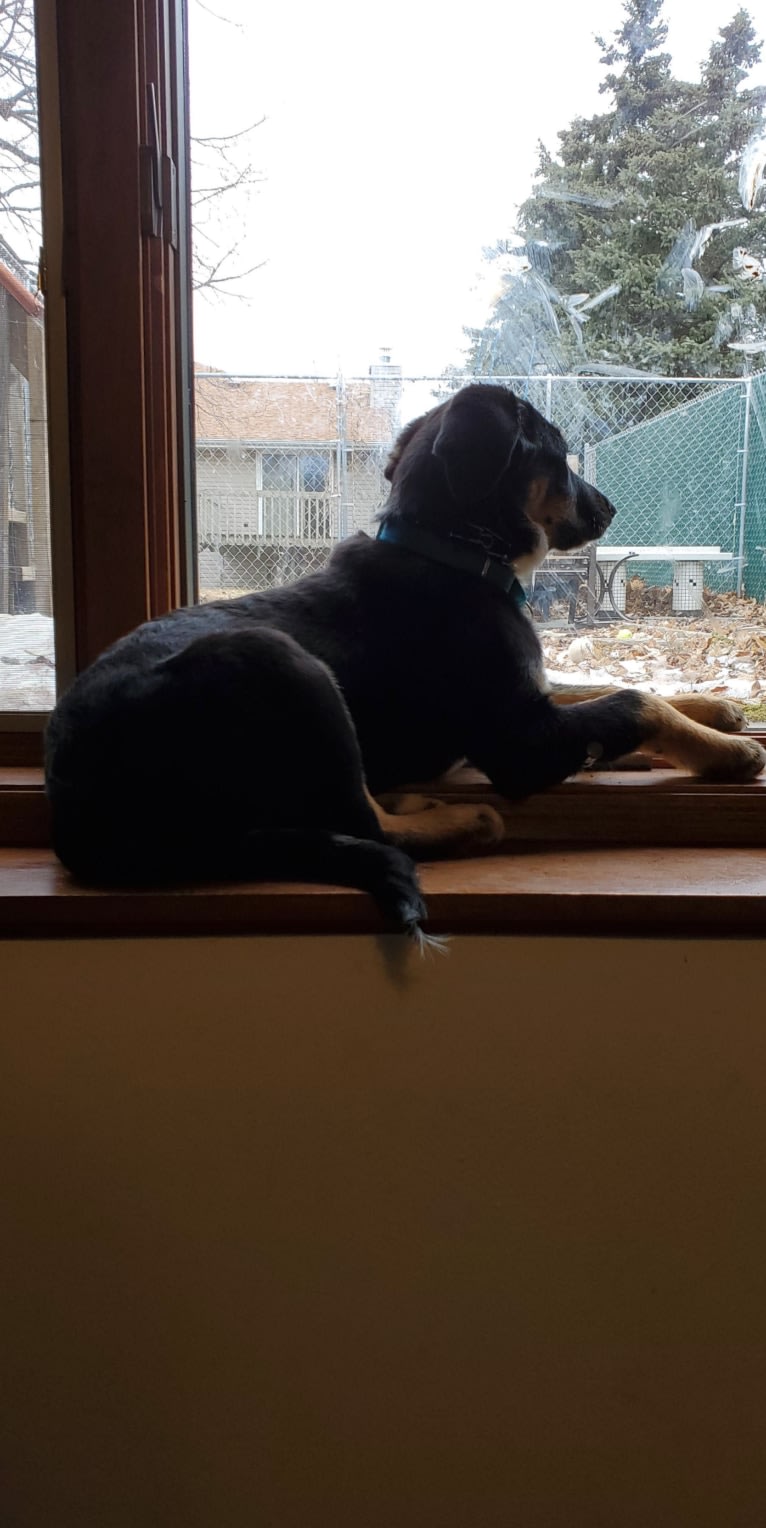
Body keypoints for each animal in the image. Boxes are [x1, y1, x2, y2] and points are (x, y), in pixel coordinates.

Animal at [46, 382, 764, 941]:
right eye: (558, 455)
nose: (609, 508)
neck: (453, 552)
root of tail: (74, 811)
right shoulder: (519, 740)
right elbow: (631, 702)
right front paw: (728, 752)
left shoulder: (526, 696)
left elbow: (607, 688)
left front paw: (716, 710)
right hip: (281, 659)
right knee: (360, 822)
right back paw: (462, 819)